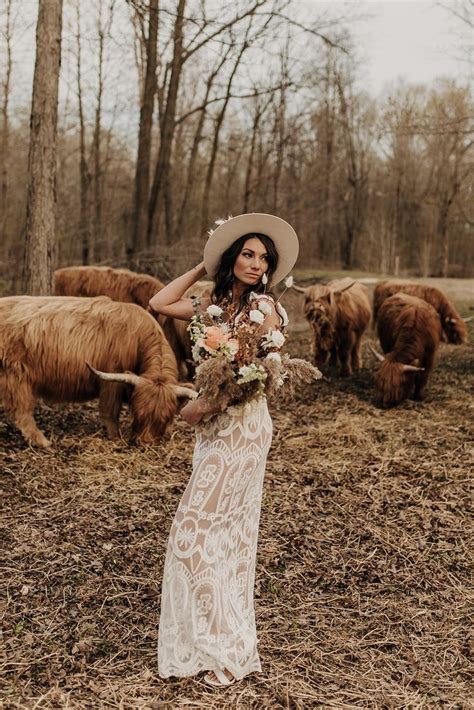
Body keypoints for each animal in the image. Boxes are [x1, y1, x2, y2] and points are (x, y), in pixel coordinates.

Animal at [0, 298, 195, 448]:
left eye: (165, 418)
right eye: (139, 414)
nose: (145, 443)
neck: (138, 338)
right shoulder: (111, 381)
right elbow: (111, 411)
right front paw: (116, 438)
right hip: (17, 376)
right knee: (22, 411)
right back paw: (43, 441)